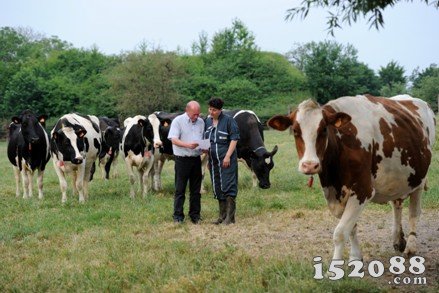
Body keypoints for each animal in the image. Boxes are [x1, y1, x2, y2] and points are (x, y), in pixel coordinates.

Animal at [268, 95, 436, 260]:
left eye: (323, 129)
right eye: (295, 131)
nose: (309, 165)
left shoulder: (362, 191)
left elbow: (340, 233)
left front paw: (336, 265)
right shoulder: (335, 193)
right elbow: (351, 228)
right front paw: (355, 257)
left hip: (419, 179)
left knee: (414, 213)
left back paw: (411, 247)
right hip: (398, 180)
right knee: (397, 204)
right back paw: (398, 240)